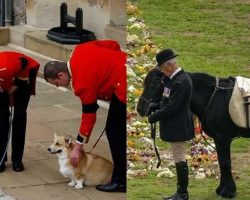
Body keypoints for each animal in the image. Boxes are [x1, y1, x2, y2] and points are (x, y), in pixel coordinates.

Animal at [137, 68, 250, 198]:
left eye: (153, 84)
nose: (140, 108)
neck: (214, 99)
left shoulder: (222, 138)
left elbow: (225, 163)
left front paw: (228, 191)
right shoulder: (220, 139)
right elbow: (222, 162)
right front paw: (222, 189)